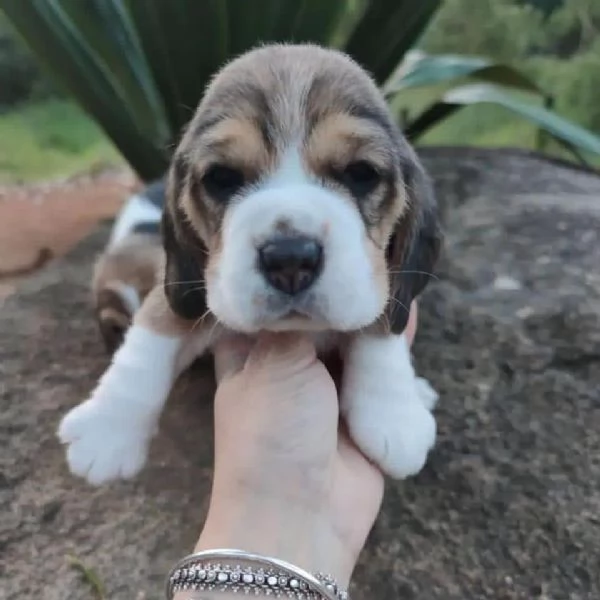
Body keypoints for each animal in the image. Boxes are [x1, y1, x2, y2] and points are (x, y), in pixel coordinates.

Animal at [57, 47, 440, 488]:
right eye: (221, 177)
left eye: (361, 173)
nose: (290, 258)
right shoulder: (192, 286)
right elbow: (151, 339)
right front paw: (107, 429)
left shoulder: (379, 280)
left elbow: (380, 327)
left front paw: (394, 415)